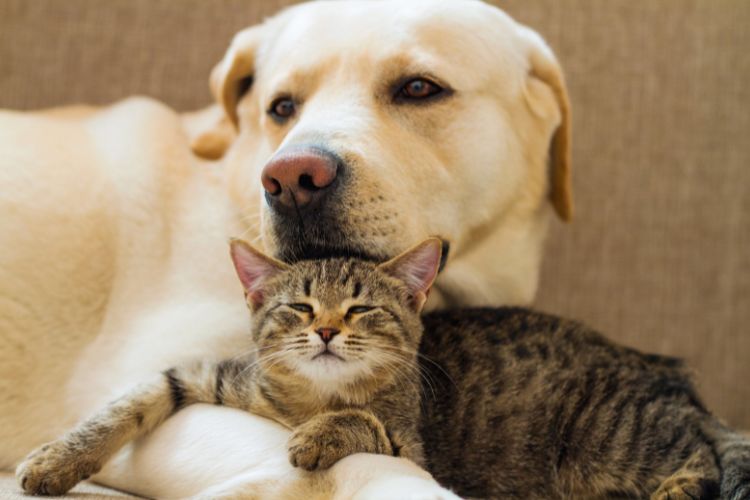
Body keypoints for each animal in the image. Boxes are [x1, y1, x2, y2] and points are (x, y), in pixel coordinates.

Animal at [14, 240, 748, 498]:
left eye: (361, 308)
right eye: (300, 306)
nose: (326, 329)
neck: (309, 398)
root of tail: (660, 368)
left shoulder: (410, 448)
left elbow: (360, 420)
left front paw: (317, 437)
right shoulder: (202, 376)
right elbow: (124, 404)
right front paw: (53, 461)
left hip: (608, 440)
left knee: (703, 457)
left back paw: (676, 489)